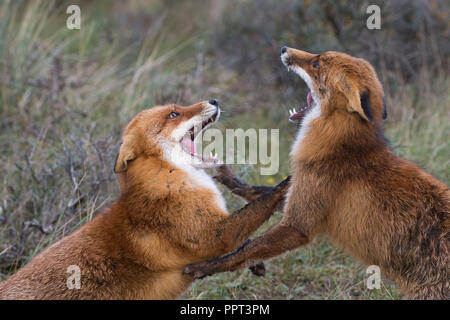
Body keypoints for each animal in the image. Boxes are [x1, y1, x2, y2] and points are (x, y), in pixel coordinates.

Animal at [0, 100, 288, 300]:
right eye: (173, 114)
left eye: (177, 108)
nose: (214, 100)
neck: (168, 179)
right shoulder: (213, 235)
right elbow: (259, 207)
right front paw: (286, 185)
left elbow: (246, 236)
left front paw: (255, 262)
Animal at [184, 48, 450, 300]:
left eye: (316, 63)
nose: (284, 49)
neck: (343, 145)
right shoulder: (301, 194)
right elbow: (261, 194)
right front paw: (229, 178)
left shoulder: (298, 224)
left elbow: (245, 251)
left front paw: (204, 267)